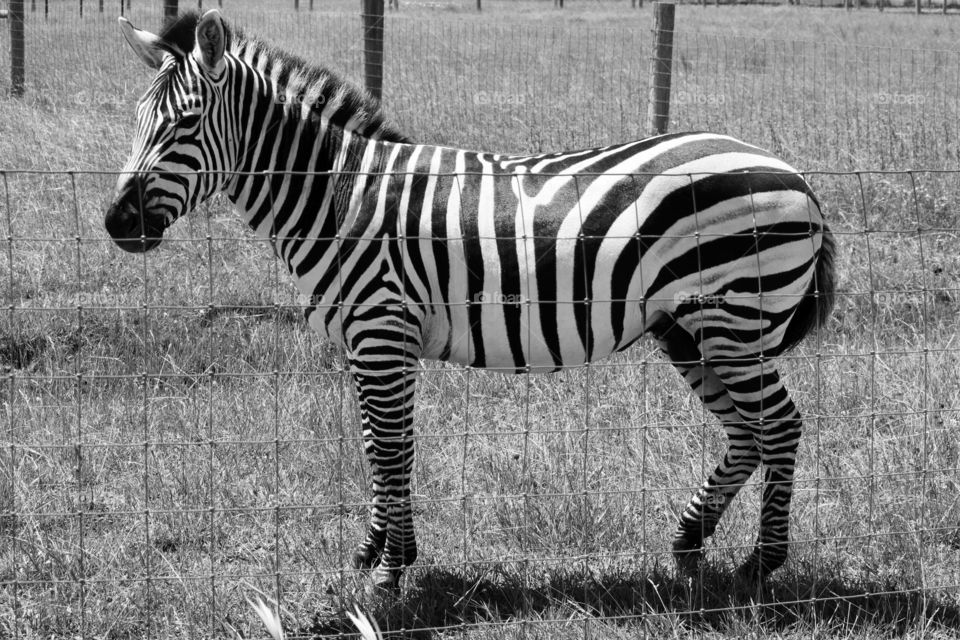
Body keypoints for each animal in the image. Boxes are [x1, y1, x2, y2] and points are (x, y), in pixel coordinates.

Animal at [105, 10, 836, 589]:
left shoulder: (382, 330)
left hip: (736, 317)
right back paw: (688, 544)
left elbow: (392, 449)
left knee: (780, 425)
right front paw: (375, 551)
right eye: (137, 120)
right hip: (690, 328)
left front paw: (392, 571)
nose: (117, 224)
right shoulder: (368, 342)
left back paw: (761, 564)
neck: (337, 195)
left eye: (186, 124)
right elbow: (375, 445)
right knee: (745, 433)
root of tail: (791, 172)